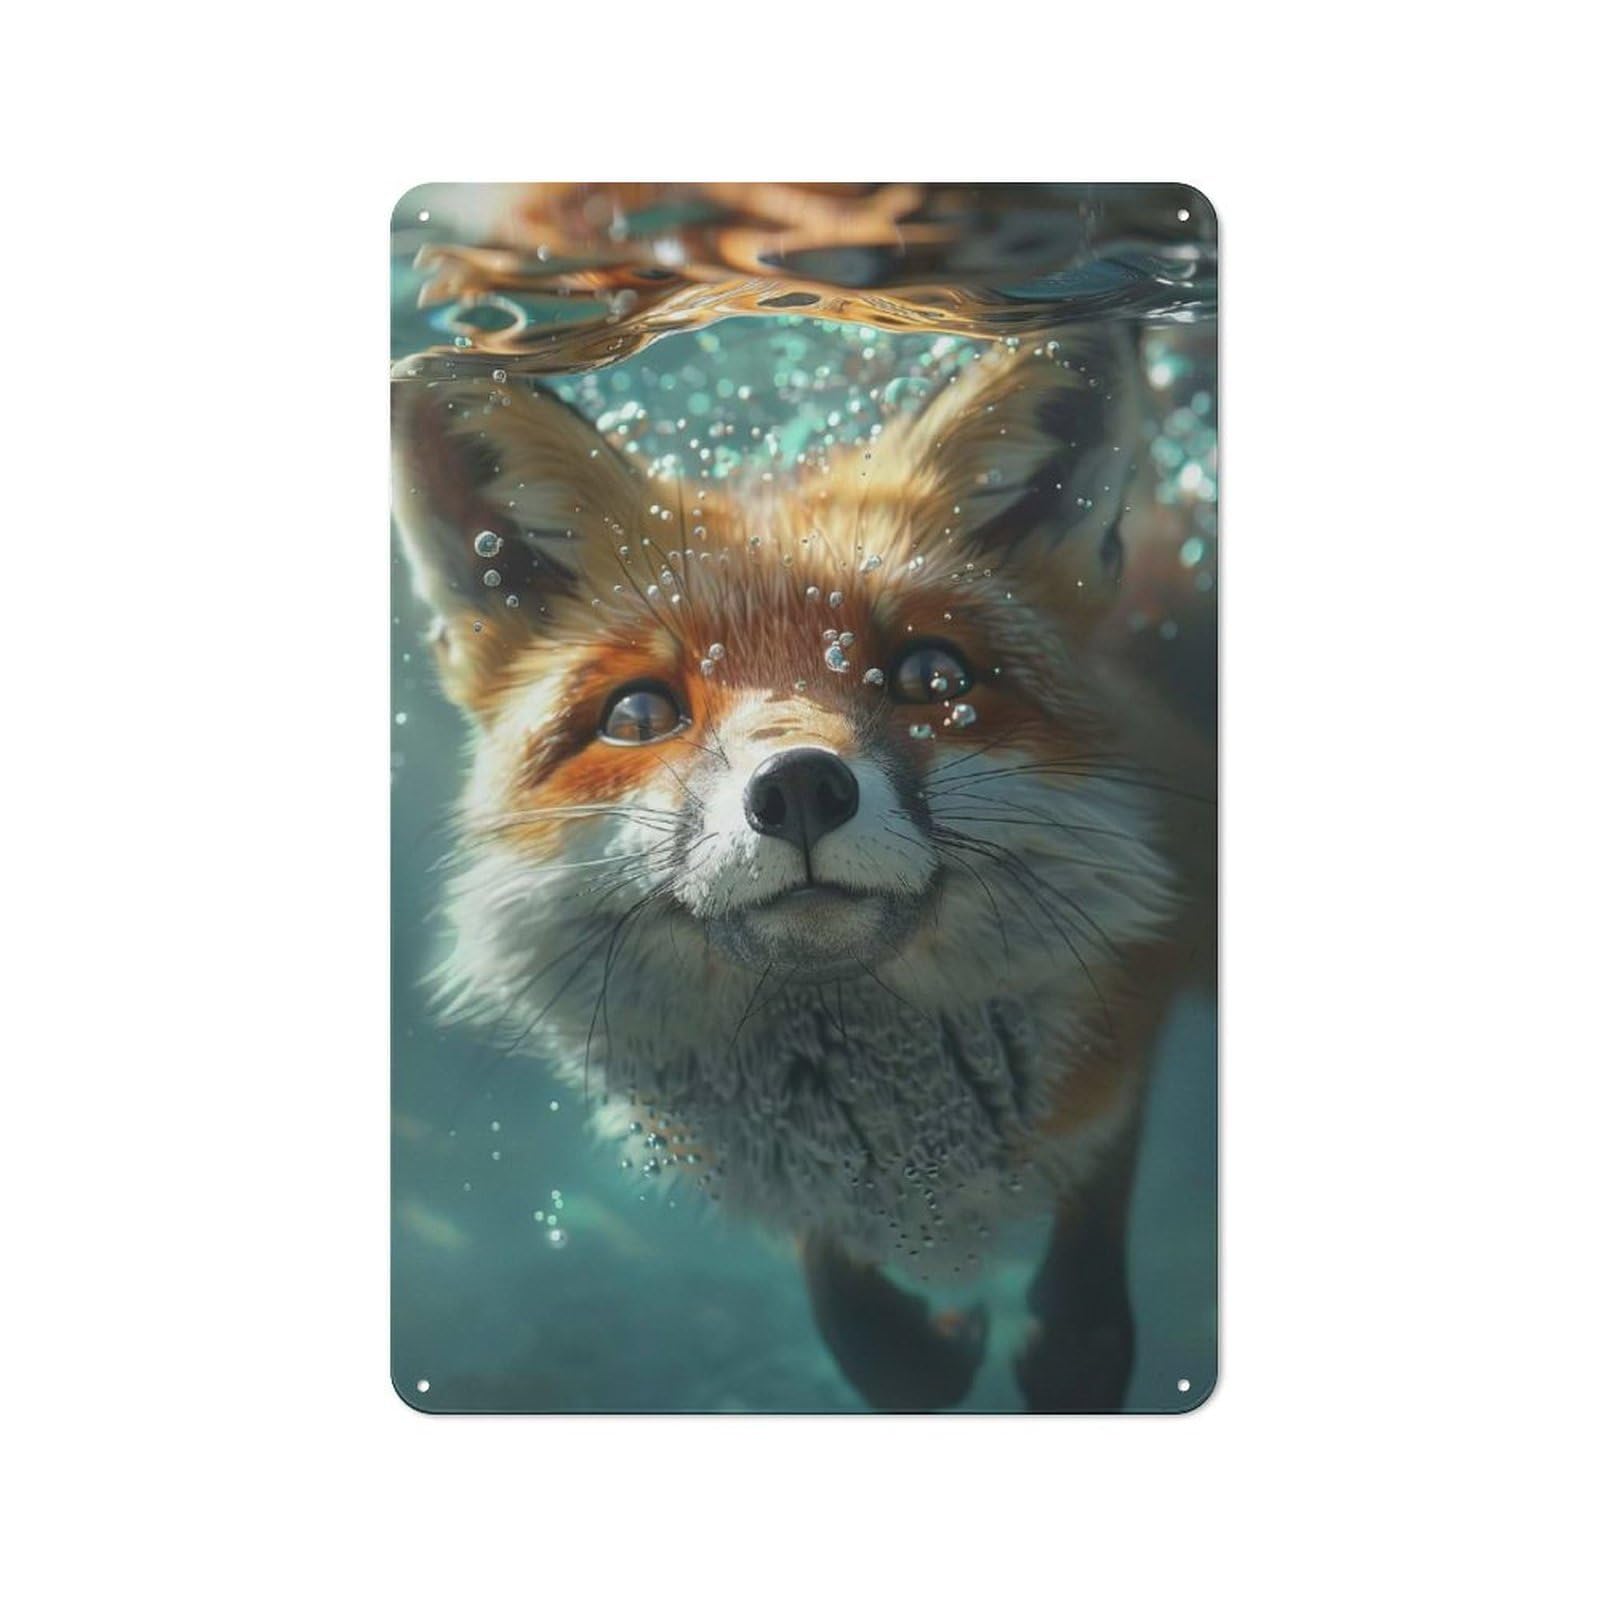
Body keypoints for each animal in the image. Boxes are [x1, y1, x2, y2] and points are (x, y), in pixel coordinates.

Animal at [391, 328, 1215, 1411]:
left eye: (932, 676)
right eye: (640, 713)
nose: (799, 789)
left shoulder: (1136, 1005)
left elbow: (1088, 1232)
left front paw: (1072, 1348)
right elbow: (851, 1314)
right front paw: (917, 1348)